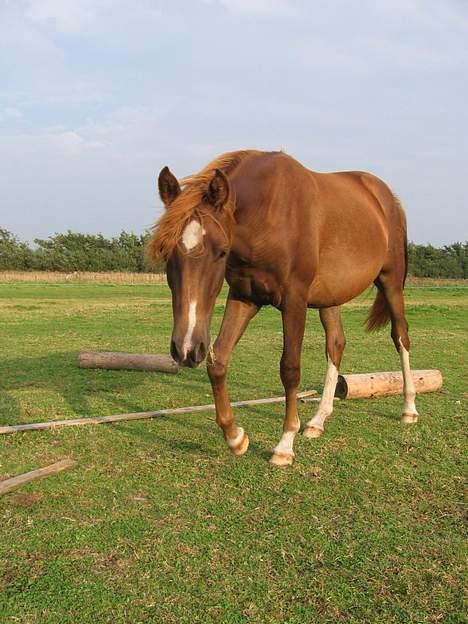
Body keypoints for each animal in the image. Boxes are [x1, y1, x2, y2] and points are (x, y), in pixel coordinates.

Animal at [148, 149, 418, 466]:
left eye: (222, 252)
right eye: (167, 253)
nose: (187, 349)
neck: (266, 214)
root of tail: (386, 197)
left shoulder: (294, 301)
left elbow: (290, 368)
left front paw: (285, 444)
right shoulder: (244, 297)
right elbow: (218, 361)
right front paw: (236, 437)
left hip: (391, 282)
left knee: (400, 336)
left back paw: (409, 408)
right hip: (330, 297)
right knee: (336, 344)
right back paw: (318, 421)